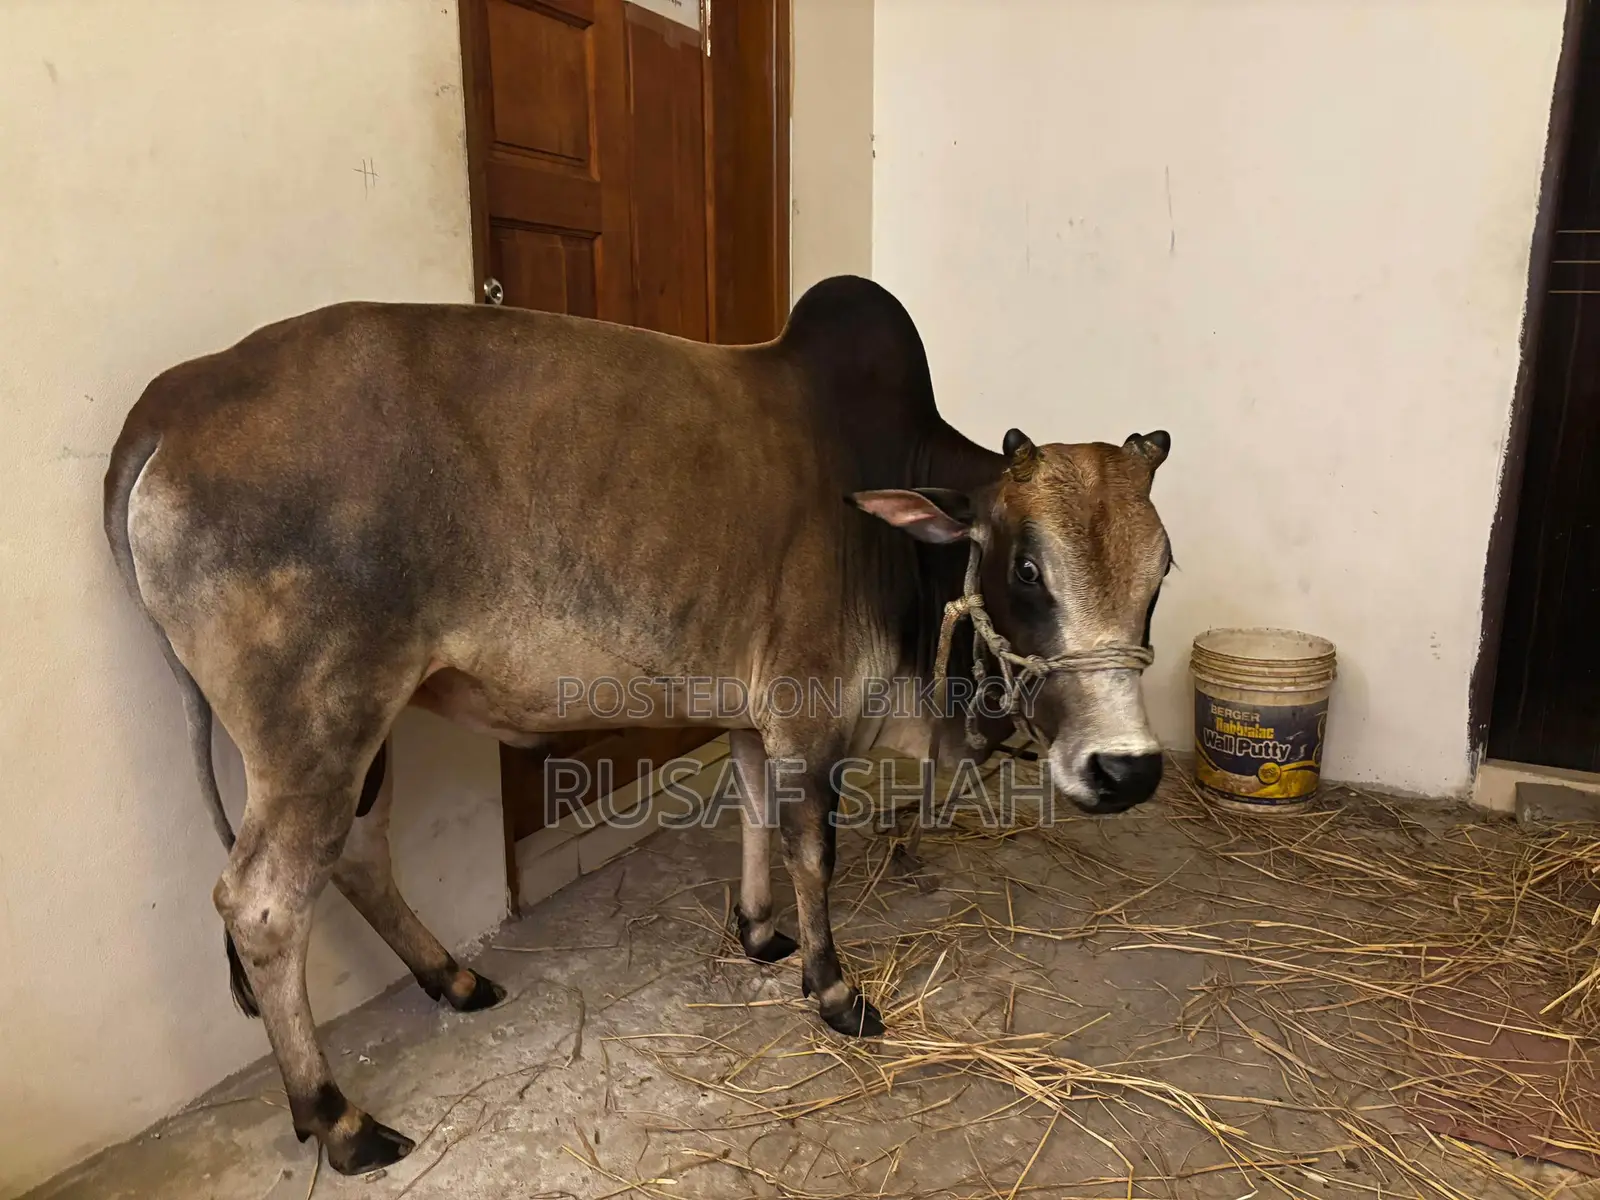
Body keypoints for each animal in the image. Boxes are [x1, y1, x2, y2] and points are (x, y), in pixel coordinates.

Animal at [103, 276, 1171, 1175]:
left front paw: (759, 933)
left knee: (359, 857)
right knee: (262, 905)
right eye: (1026, 568)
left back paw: (454, 980)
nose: (1127, 771)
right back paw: (338, 1117)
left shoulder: (754, 719)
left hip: (367, 725)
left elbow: (754, 819)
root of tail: (174, 398)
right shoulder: (809, 717)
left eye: (1161, 572)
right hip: (318, 726)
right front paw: (832, 989)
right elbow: (814, 851)